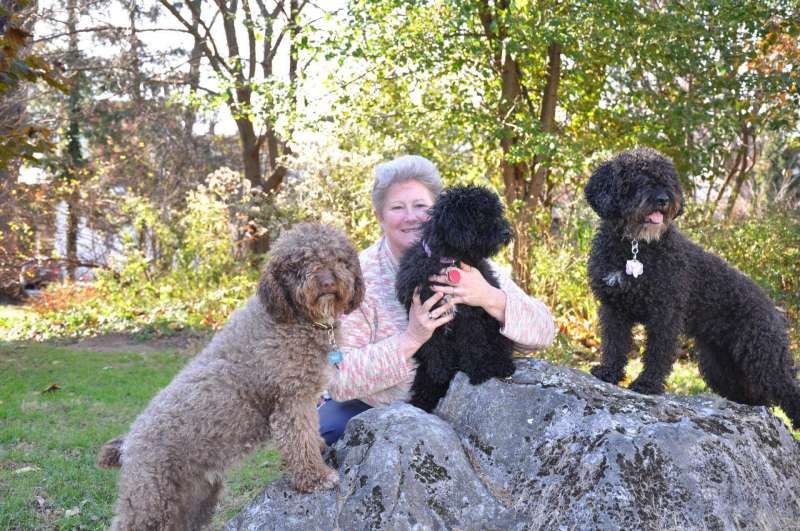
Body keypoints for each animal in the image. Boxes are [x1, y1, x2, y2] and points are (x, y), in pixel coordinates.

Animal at [98, 223, 364, 531]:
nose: (327, 281)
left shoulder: (305, 397)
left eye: (340, 259)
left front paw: (320, 448)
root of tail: (128, 441)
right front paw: (316, 476)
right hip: (150, 498)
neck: (293, 320)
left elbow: (311, 431)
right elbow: (299, 439)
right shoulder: (290, 400)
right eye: (300, 264)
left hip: (193, 500)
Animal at [396, 185, 516, 414]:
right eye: (480, 215)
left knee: (500, 346)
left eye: (497, 213)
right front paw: (439, 373)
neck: (450, 261)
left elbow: (473, 344)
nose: (506, 232)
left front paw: (479, 370)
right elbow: (434, 347)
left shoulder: (469, 315)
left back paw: (502, 365)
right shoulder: (425, 311)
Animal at [580, 148, 800, 430]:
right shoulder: (613, 308)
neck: (636, 247)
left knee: (788, 390)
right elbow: (614, 344)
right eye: (638, 178)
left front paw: (647, 384)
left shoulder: (665, 314)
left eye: (668, 179)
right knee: (752, 396)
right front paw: (608, 372)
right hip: (719, 364)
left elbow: (658, 353)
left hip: (764, 357)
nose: (664, 200)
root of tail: (774, 309)